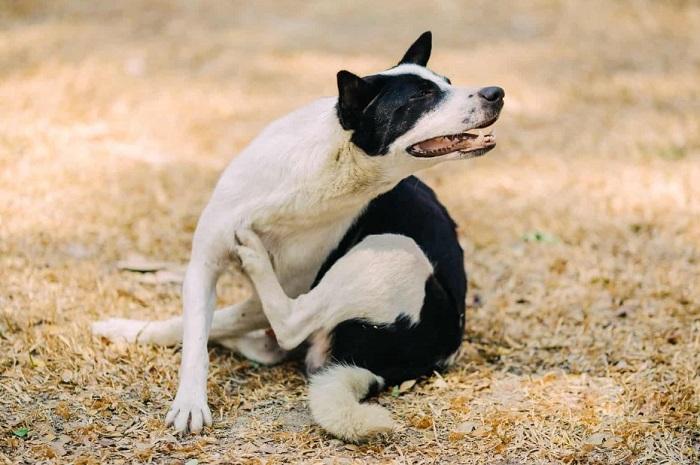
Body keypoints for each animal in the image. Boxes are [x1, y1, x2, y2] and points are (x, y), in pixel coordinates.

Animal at [93, 31, 504, 438]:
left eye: (446, 83)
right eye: (423, 96)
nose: (496, 92)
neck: (330, 166)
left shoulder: (288, 284)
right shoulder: (203, 264)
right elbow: (196, 337)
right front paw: (188, 399)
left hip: (392, 249)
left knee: (289, 324)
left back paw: (253, 257)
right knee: (263, 340)